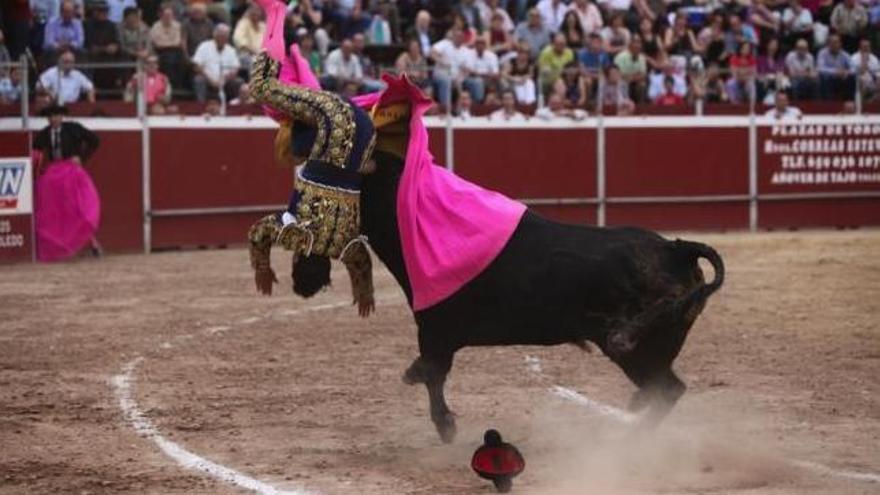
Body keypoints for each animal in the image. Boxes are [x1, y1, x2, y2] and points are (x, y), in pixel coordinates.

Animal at [354, 150, 724, 442]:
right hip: (652, 351)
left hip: (638, 351)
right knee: (666, 390)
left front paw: (445, 425)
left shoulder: (435, 329)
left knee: (667, 390)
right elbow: (434, 373)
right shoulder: (437, 334)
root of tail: (676, 249)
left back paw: (630, 436)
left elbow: (432, 374)